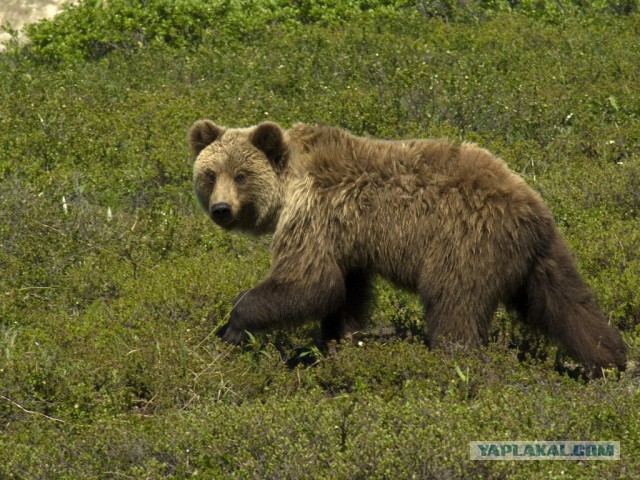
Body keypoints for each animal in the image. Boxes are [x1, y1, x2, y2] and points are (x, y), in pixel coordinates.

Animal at [188, 120, 628, 372]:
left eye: (241, 175)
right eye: (210, 174)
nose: (221, 208)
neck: (289, 186)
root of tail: (529, 209)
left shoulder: (314, 214)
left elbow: (308, 282)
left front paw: (232, 326)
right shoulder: (345, 236)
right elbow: (345, 293)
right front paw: (338, 344)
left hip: (463, 244)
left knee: (454, 310)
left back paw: (452, 364)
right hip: (542, 258)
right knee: (570, 305)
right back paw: (610, 361)